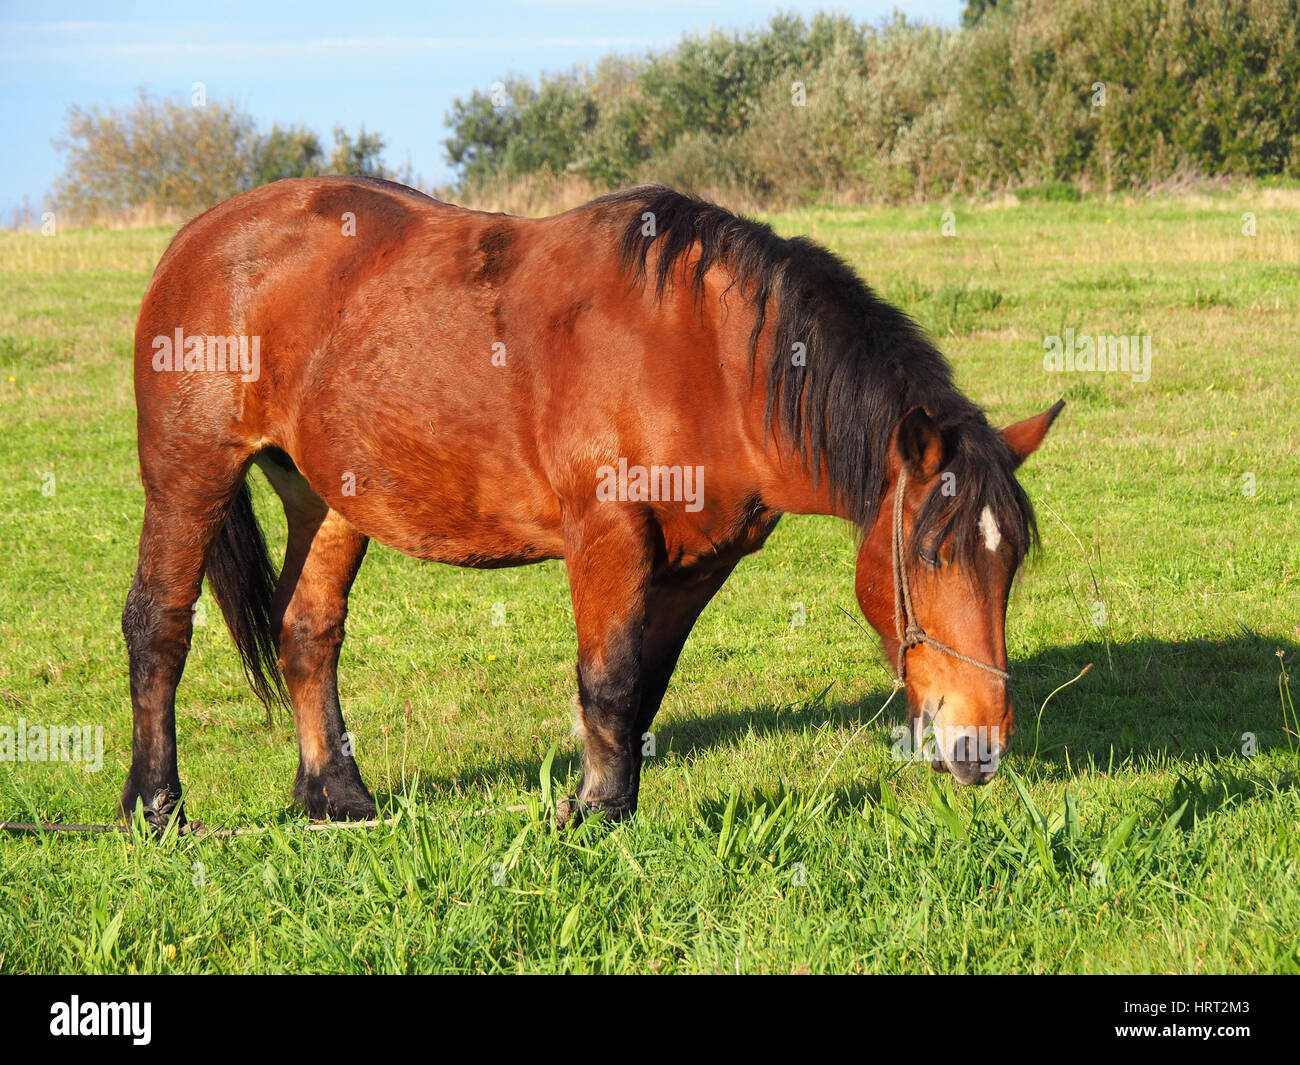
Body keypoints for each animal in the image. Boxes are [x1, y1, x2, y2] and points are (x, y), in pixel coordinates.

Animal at [122, 176, 1063, 831]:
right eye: (929, 554)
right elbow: (606, 679)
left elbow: (642, 685)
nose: (984, 746)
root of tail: (193, 241)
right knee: (157, 625)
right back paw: (155, 807)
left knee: (306, 630)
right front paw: (597, 813)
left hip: (328, 498)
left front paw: (611, 798)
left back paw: (336, 797)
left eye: (1011, 563)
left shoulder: (697, 567)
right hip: (189, 474)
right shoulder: (607, 536)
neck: (704, 357)